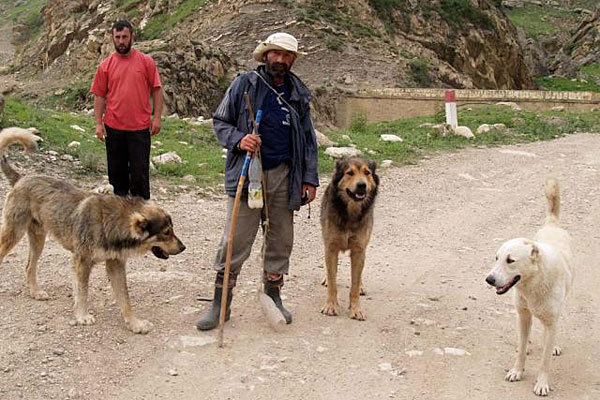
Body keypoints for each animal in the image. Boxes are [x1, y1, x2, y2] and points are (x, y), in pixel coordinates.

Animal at [0, 127, 185, 332]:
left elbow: (125, 299)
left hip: (38, 239)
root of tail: (21, 178)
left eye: (172, 230)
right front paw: (82, 316)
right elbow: (82, 291)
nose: (183, 248)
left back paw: (36, 292)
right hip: (13, 233)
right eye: (166, 233)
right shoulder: (82, 262)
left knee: (29, 266)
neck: (112, 222)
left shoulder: (115, 265)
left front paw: (134, 323)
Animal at [318, 158, 380, 320]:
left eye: (367, 172)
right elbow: (332, 281)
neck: (350, 212)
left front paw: (356, 309)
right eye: (350, 173)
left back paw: (361, 286)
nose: (362, 185)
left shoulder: (359, 249)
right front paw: (331, 305)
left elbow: (355, 284)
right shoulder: (331, 247)